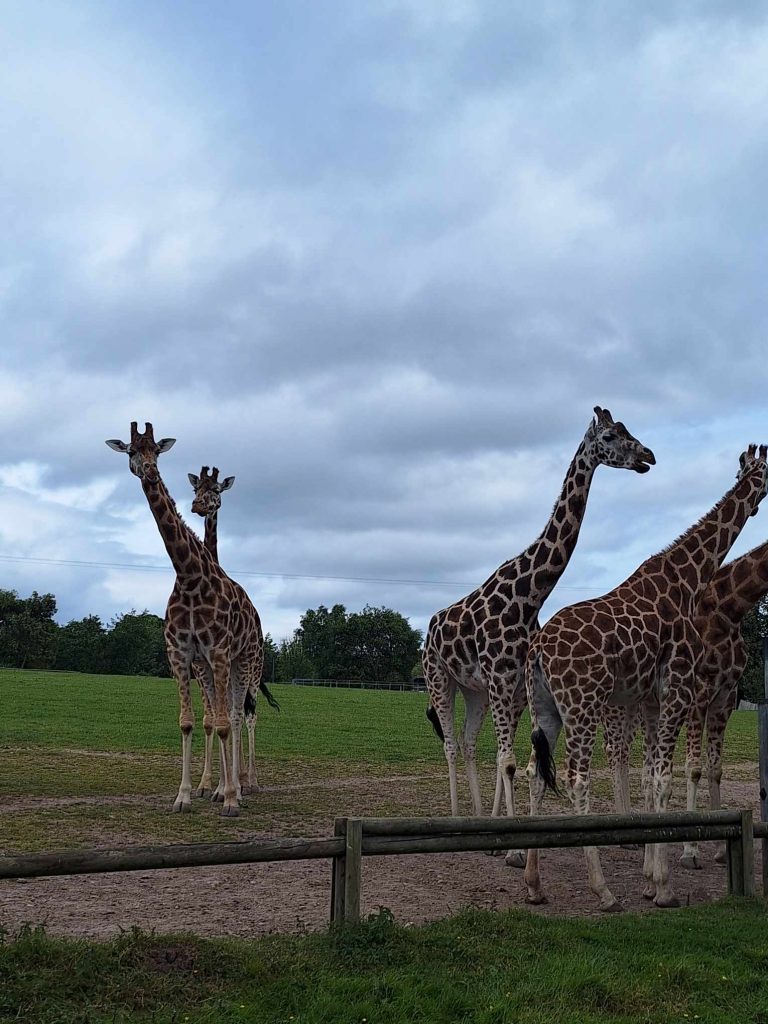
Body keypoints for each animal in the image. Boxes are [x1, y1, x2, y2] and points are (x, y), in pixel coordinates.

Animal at [105, 421, 264, 815]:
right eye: (132, 450)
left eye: (156, 451)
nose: (149, 470)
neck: (189, 575)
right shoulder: (182, 656)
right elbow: (191, 722)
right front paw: (187, 795)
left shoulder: (218, 654)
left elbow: (223, 723)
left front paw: (229, 797)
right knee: (229, 716)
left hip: (248, 663)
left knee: (242, 717)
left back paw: (247, 783)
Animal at [423, 403, 659, 860]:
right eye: (609, 437)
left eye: (630, 430)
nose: (649, 456)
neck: (529, 593)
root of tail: (429, 627)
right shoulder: (500, 678)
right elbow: (509, 760)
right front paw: (514, 849)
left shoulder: (513, 685)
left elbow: (511, 757)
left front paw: (503, 836)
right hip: (439, 678)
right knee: (449, 743)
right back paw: (458, 820)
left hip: (475, 690)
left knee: (468, 742)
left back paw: (477, 819)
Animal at [528, 444, 768, 909]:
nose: (758, 500)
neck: (688, 578)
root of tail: (538, 651)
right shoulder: (681, 689)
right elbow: (663, 778)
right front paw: (665, 886)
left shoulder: (658, 700)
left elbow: (656, 778)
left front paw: (650, 879)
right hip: (585, 706)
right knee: (579, 778)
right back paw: (602, 890)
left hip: (547, 709)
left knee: (536, 773)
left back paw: (533, 885)